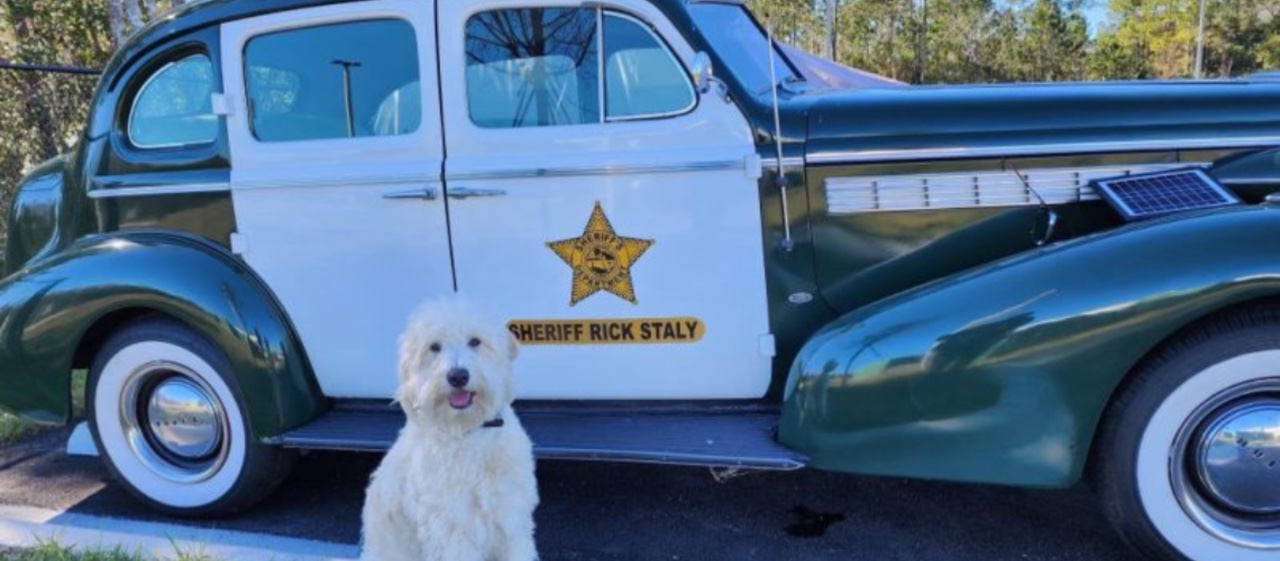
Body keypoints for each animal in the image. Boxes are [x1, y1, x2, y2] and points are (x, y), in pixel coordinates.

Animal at [361, 299, 538, 561]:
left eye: (475, 341)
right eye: (434, 347)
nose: (457, 376)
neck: (468, 431)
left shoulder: (511, 518)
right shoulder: (452, 531)